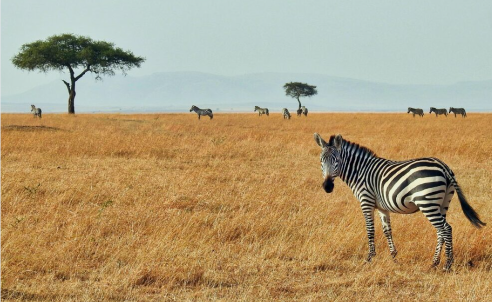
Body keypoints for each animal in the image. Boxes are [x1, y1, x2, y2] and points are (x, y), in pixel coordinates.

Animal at [316, 133, 484, 270]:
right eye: (321, 161)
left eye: (337, 160)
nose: (327, 186)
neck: (360, 172)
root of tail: (443, 166)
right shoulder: (382, 207)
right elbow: (387, 230)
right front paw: (394, 256)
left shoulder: (366, 201)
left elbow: (370, 230)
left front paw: (370, 258)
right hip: (443, 203)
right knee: (441, 230)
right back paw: (434, 262)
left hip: (427, 202)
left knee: (446, 229)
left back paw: (447, 264)